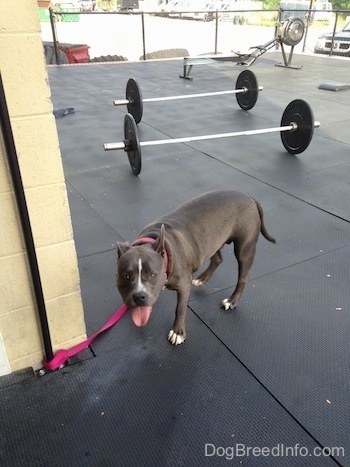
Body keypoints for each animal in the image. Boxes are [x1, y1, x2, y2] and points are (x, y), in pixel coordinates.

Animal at [116, 188, 274, 346]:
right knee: (218, 259)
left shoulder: (184, 286)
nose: (139, 296)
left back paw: (231, 301)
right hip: (212, 241)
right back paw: (202, 279)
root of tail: (249, 197)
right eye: (126, 276)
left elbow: (180, 309)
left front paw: (178, 332)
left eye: (153, 274)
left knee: (243, 277)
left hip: (244, 249)